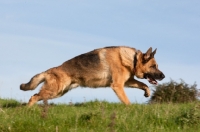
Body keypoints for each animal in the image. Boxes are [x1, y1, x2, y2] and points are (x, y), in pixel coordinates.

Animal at [19, 46, 164, 106]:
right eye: (154, 66)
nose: (163, 76)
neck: (132, 59)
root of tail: (49, 70)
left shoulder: (127, 81)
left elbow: (143, 84)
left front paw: (147, 92)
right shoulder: (118, 85)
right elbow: (127, 102)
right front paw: (132, 109)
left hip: (58, 92)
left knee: (35, 96)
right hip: (54, 91)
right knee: (33, 97)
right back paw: (27, 111)